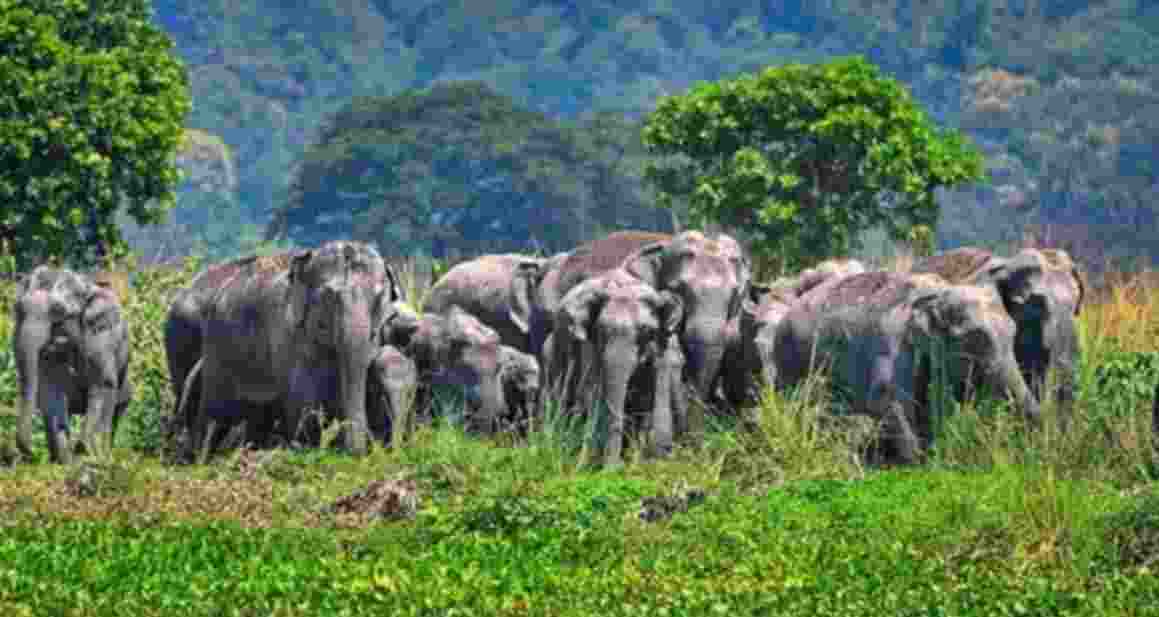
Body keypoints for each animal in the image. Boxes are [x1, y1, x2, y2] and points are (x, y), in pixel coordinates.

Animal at [13, 266, 132, 463]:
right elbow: (52, 389)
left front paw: (84, 450)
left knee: (116, 408)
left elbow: (103, 381)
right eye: (18, 309)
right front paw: (66, 459)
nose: (32, 454)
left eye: (58, 311)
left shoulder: (101, 332)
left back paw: (104, 455)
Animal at [165, 249, 406, 453]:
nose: (360, 452)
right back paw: (198, 457)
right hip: (211, 345)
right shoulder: (289, 335)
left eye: (379, 299)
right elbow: (303, 407)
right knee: (213, 414)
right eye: (327, 298)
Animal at [543, 269, 686, 466]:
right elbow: (593, 391)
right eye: (601, 331)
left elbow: (658, 393)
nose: (616, 466)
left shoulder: (663, 345)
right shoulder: (590, 346)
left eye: (647, 332)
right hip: (552, 352)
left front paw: (654, 460)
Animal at [770, 271, 1041, 464]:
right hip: (791, 360)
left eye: (1014, 333)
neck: (937, 293)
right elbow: (887, 399)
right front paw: (917, 464)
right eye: (974, 339)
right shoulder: (892, 345)